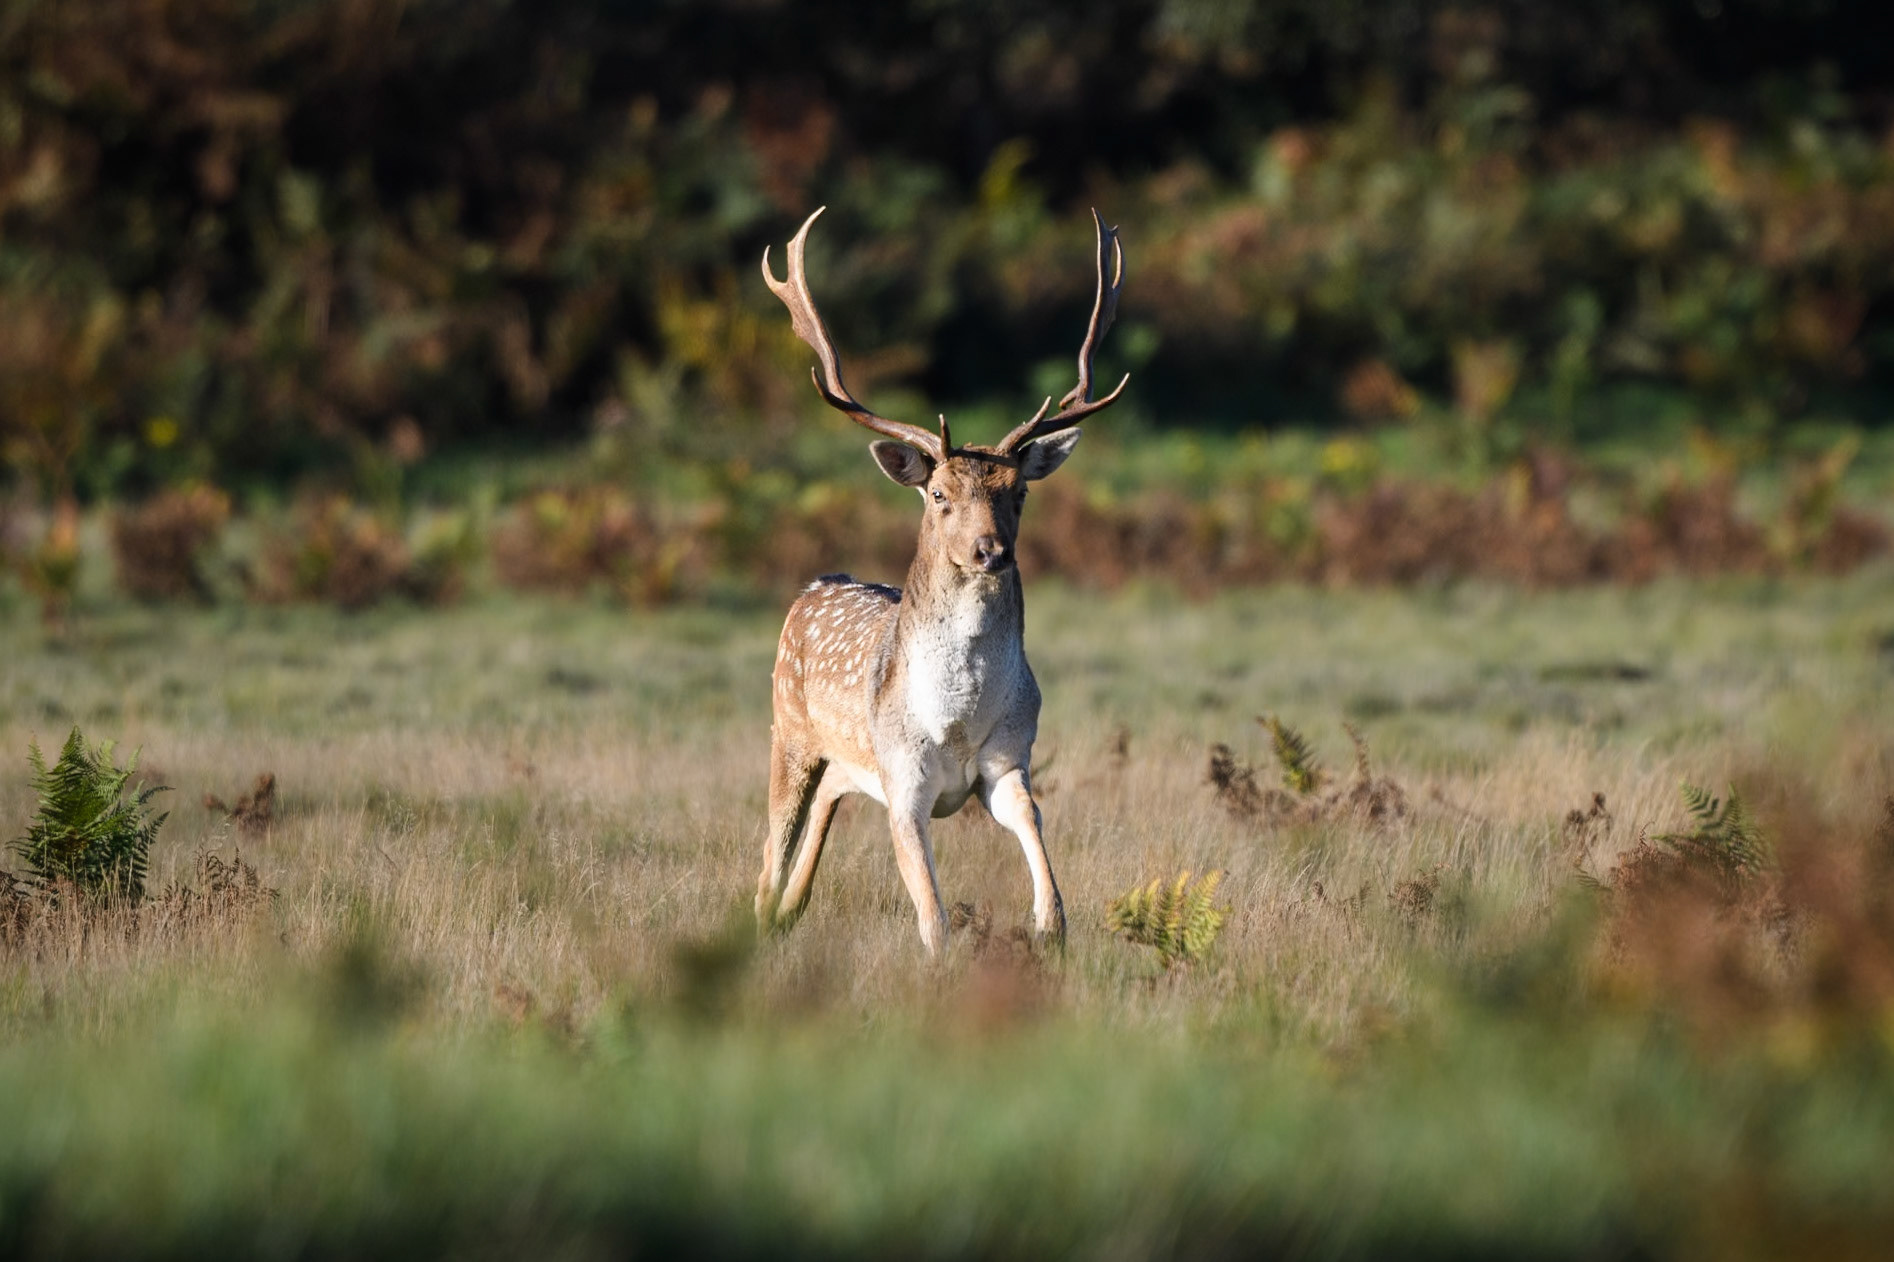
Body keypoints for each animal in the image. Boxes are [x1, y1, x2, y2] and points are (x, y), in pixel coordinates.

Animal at [755, 205, 1127, 958]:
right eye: (938, 494)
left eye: (1019, 491)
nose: (991, 551)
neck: (956, 720)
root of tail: (817, 583)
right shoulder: (904, 779)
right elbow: (932, 912)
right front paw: (942, 957)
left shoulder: (1009, 758)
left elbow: (1034, 826)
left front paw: (1050, 922)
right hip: (789, 730)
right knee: (768, 853)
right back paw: (761, 917)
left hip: (846, 757)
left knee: (829, 799)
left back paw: (791, 912)